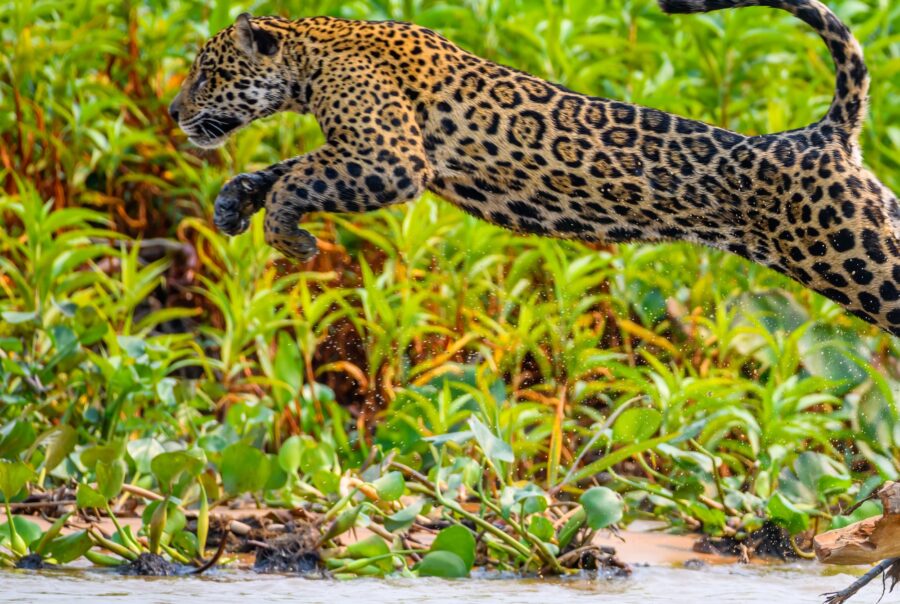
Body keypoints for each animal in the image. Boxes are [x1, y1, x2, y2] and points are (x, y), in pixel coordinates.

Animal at [168, 0, 900, 337]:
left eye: (207, 72)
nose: (174, 112)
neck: (314, 51)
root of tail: (823, 133)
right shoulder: (360, 148)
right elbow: (288, 164)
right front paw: (234, 203)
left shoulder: (391, 156)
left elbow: (302, 175)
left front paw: (287, 235)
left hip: (862, 258)